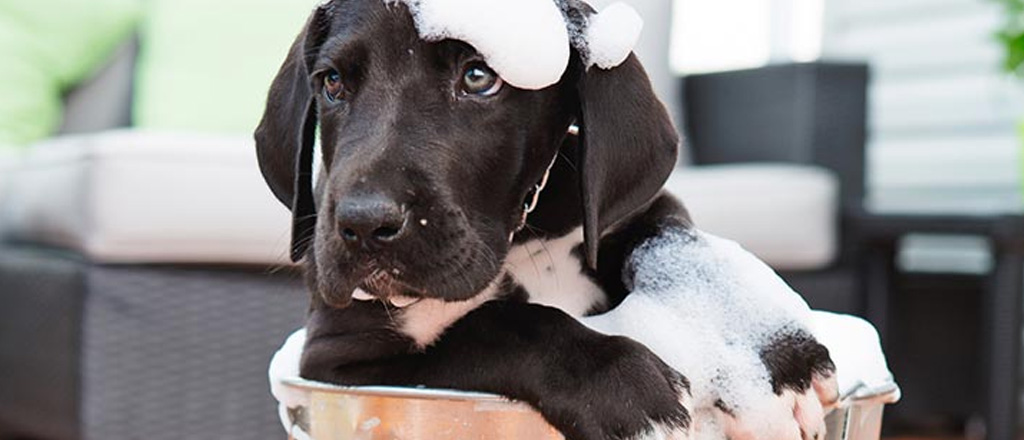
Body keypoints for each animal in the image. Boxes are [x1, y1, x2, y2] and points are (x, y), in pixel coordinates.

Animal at [258, 1, 839, 437]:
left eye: (478, 77)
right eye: (332, 83)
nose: (363, 226)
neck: (520, 237)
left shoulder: (637, 210)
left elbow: (677, 241)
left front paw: (778, 360)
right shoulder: (340, 359)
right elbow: (493, 324)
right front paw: (623, 384)